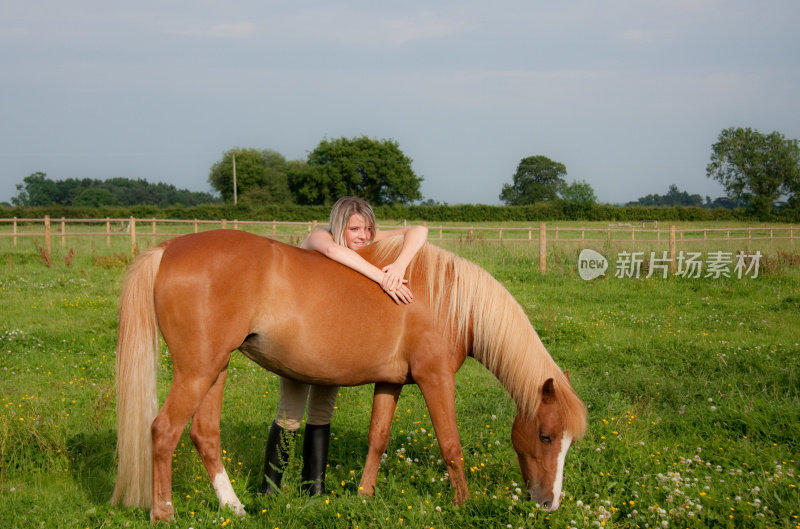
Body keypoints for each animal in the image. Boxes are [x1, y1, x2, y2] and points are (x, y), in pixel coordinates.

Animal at [109, 229, 588, 520]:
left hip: (215, 368)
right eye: (546, 436)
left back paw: (234, 506)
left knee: (204, 434)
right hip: (198, 371)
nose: (549, 503)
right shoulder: (436, 380)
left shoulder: (391, 382)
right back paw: (164, 512)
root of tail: (167, 249)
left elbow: (378, 438)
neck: (448, 299)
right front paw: (463, 504)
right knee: (163, 431)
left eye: (568, 442)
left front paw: (364, 495)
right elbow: (451, 446)